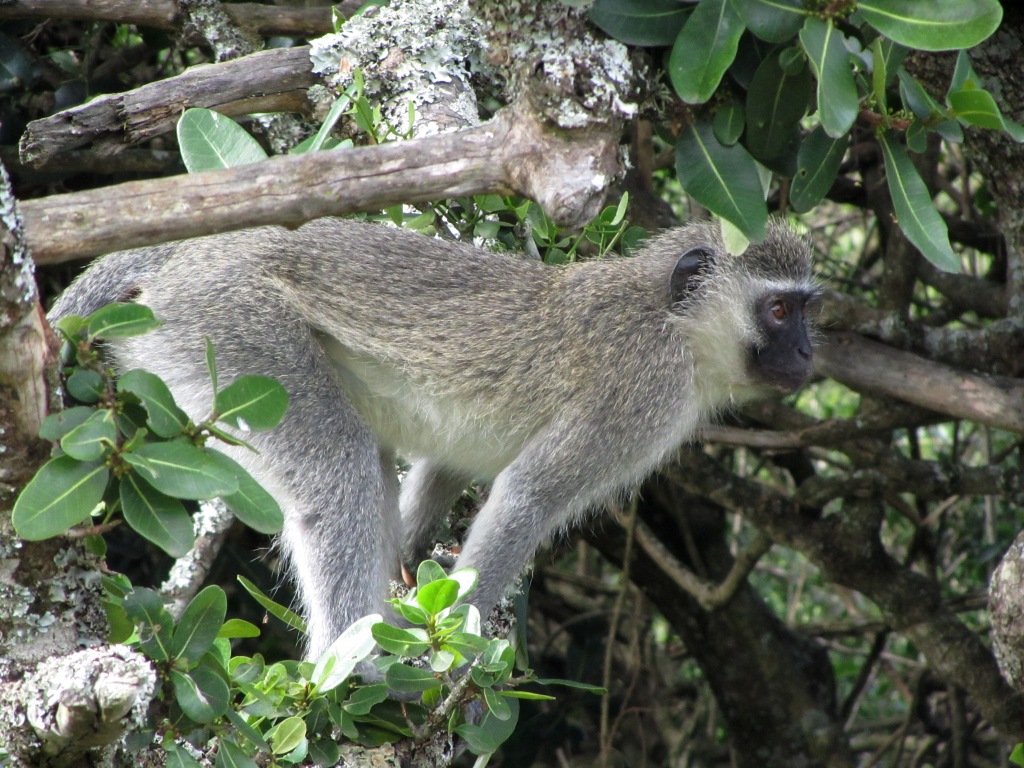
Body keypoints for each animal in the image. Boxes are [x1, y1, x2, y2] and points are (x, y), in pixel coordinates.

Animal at [48, 216, 817, 660]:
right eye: (779, 311)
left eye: (807, 310)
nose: (809, 354)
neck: (673, 324)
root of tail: (198, 252)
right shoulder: (641, 395)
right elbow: (528, 499)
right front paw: (456, 651)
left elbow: (448, 465)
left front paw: (414, 582)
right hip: (230, 330)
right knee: (339, 466)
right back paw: (348, 669)